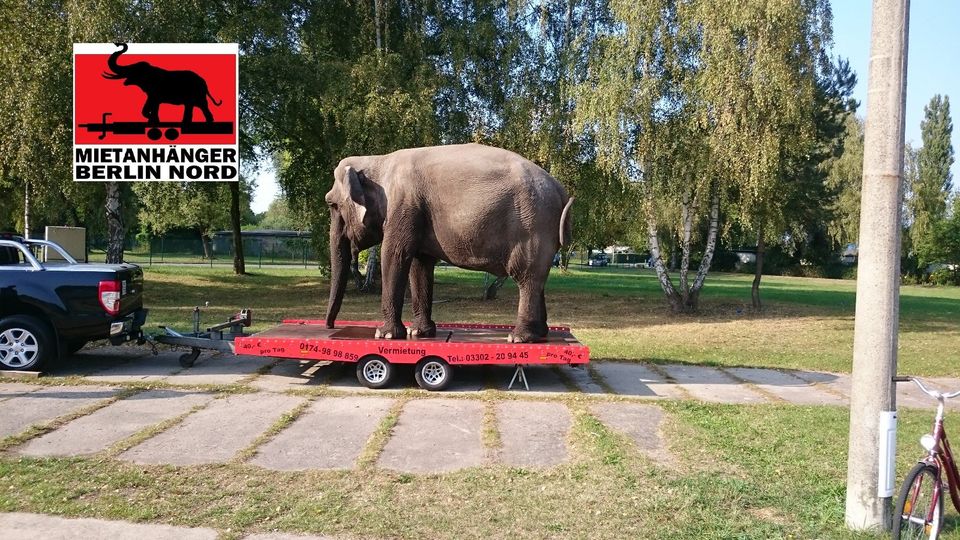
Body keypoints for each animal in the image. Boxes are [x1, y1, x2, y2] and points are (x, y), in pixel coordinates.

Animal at [326, 142, 572, 342]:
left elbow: (394, 255)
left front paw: (385, 335)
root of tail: (560, 188)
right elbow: (420, 265)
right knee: (537, 278)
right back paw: (540, 334)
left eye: (332, 205)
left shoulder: (403, 207)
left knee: (526, 276)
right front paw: (419, 332)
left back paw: (518, 338)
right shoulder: (417, 214)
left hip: (533, 225)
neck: (378, 160)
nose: (330, 326)